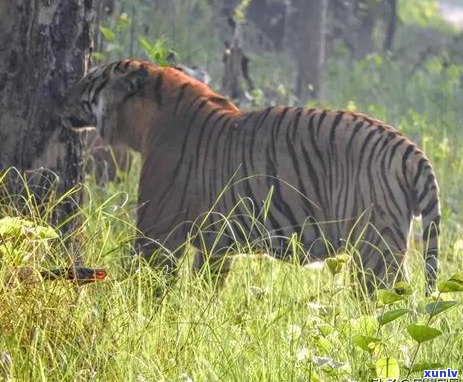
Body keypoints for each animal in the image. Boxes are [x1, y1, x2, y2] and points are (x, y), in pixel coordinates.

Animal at [62, 59, 442, 292]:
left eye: (91, 80)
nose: (60, 96)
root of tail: (409, 148)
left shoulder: (158, 232)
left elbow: (147, 285)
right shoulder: (214, 246)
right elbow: (205, 289)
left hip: (373, 252)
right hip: (391, 247)